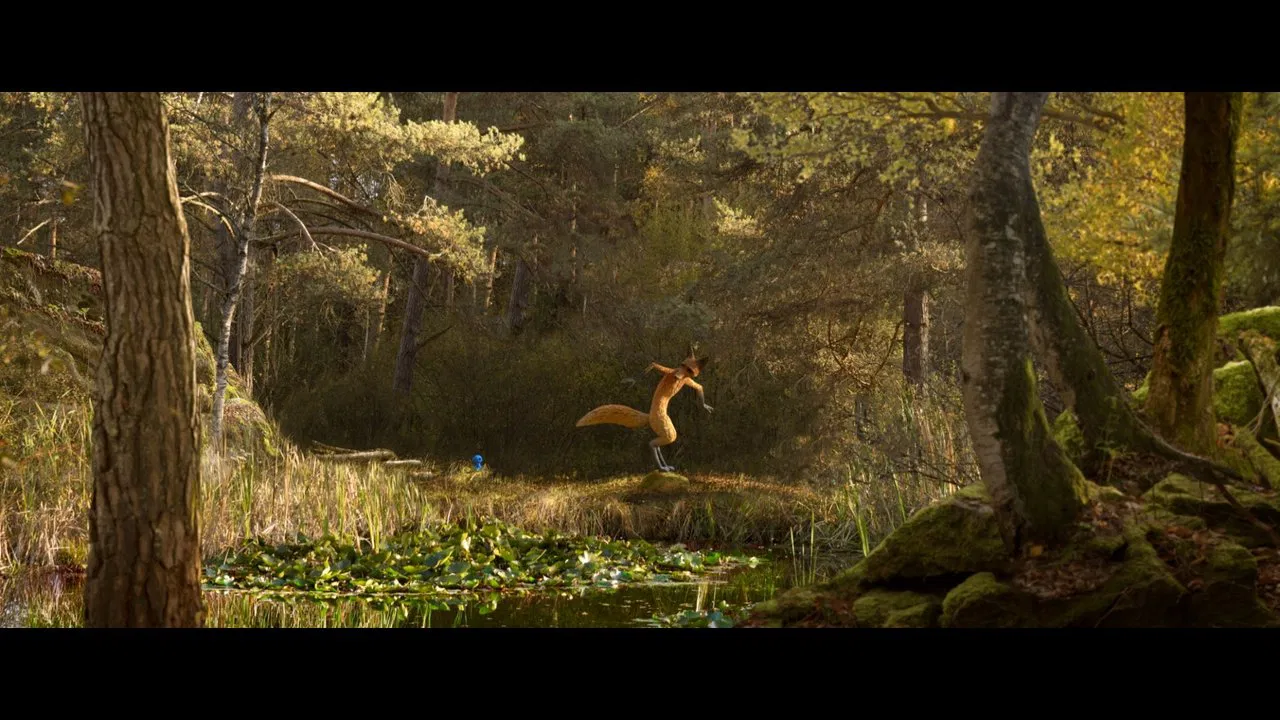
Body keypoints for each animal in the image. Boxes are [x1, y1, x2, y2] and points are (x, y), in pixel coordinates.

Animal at [575, 346, 713, 472]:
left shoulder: (686, 379)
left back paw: (665, 467)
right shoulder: (670, 372)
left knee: (657, 444)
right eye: (682, 364)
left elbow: (699, 387)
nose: (677, 375)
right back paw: (662, 467)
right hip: (669, 432)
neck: (679, 377)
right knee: (652, 443)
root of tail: (649, 416)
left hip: (665, 429)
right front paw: (632, 381)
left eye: (689, 369)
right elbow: (654, 365)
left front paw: (705, 406)